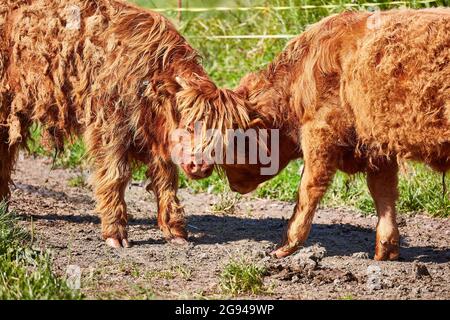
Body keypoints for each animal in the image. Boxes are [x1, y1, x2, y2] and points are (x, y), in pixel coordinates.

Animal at [180, 8, 450, 262]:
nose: (192, 165)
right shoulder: (375, 143)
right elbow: (383, 191)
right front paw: (386, 250)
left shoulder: (321, 131)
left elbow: (308, 188)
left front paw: (286, 245)